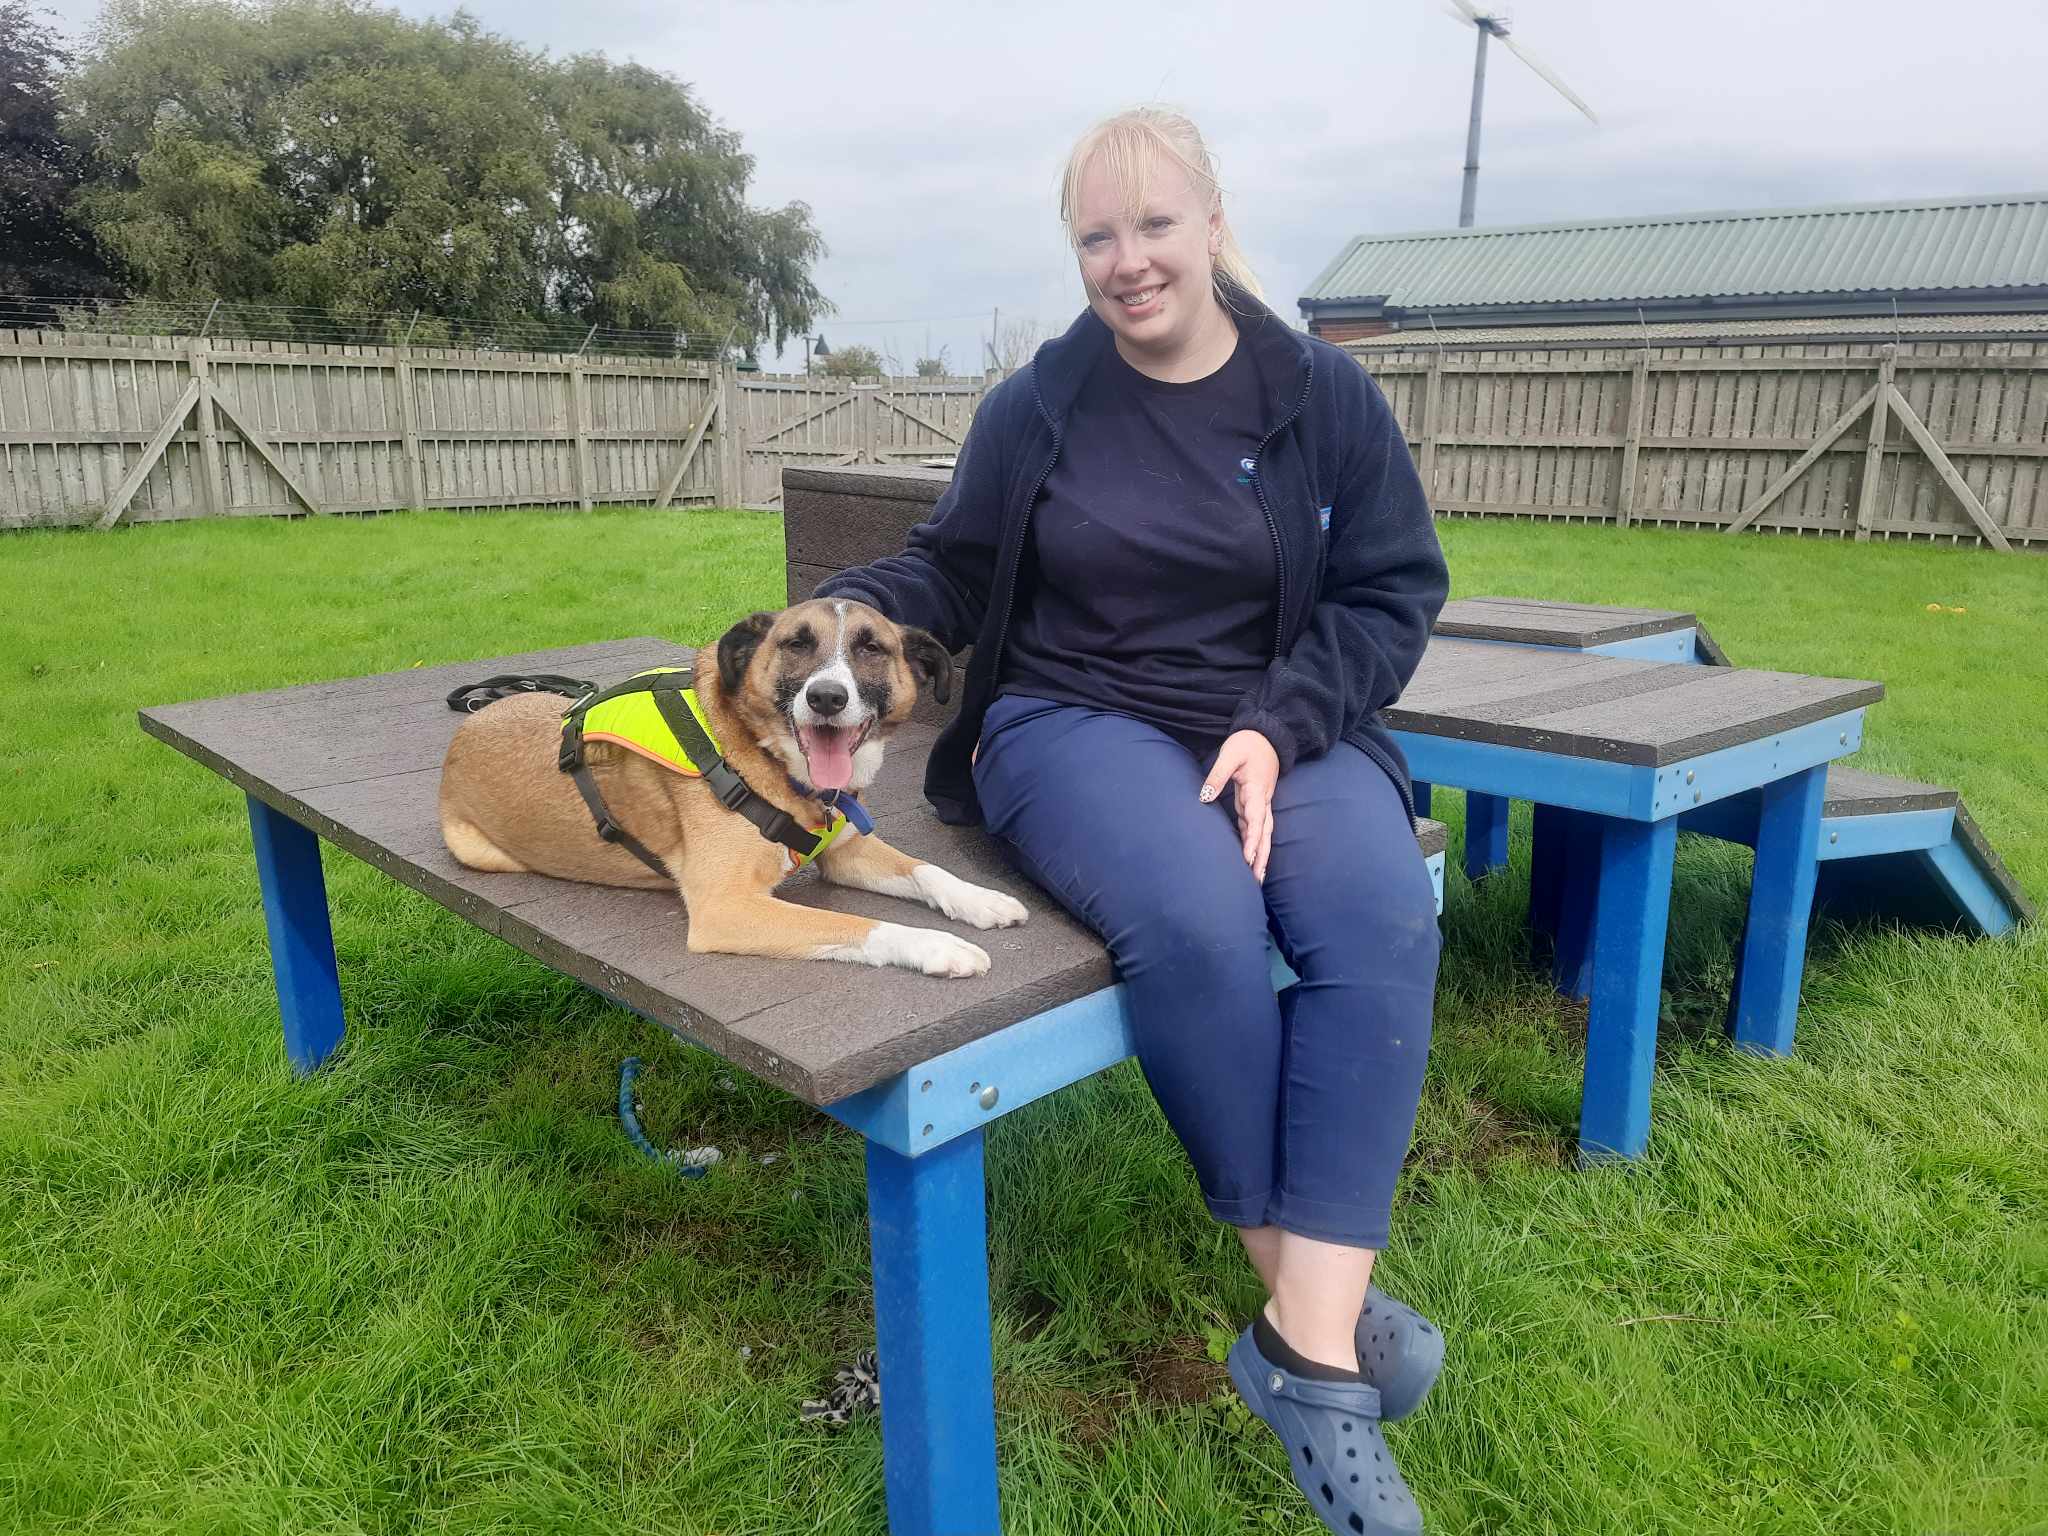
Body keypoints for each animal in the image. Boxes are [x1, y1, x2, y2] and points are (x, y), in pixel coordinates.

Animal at [438, 602, 1032, 974]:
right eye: (796, 644)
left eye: (871, 649)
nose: (827, 698)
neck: (768, 763)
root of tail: (466, 727)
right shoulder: (726, 907)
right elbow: (858, 923)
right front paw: (939, 946)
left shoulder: (847, 854)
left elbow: (927, 870)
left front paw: (981, 900)